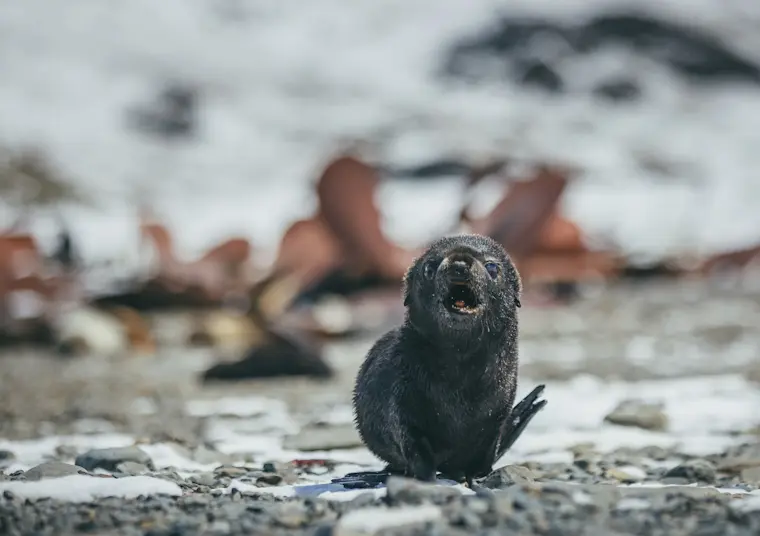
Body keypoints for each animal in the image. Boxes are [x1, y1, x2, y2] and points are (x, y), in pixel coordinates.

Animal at [337, 233, 546, 488]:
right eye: (429, 267)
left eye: (492, 267)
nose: (459, 264)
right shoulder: (402, 405)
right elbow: (416, 449)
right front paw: (426, 479)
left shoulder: (497, 413)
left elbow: (482, 455)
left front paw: (474, 480)